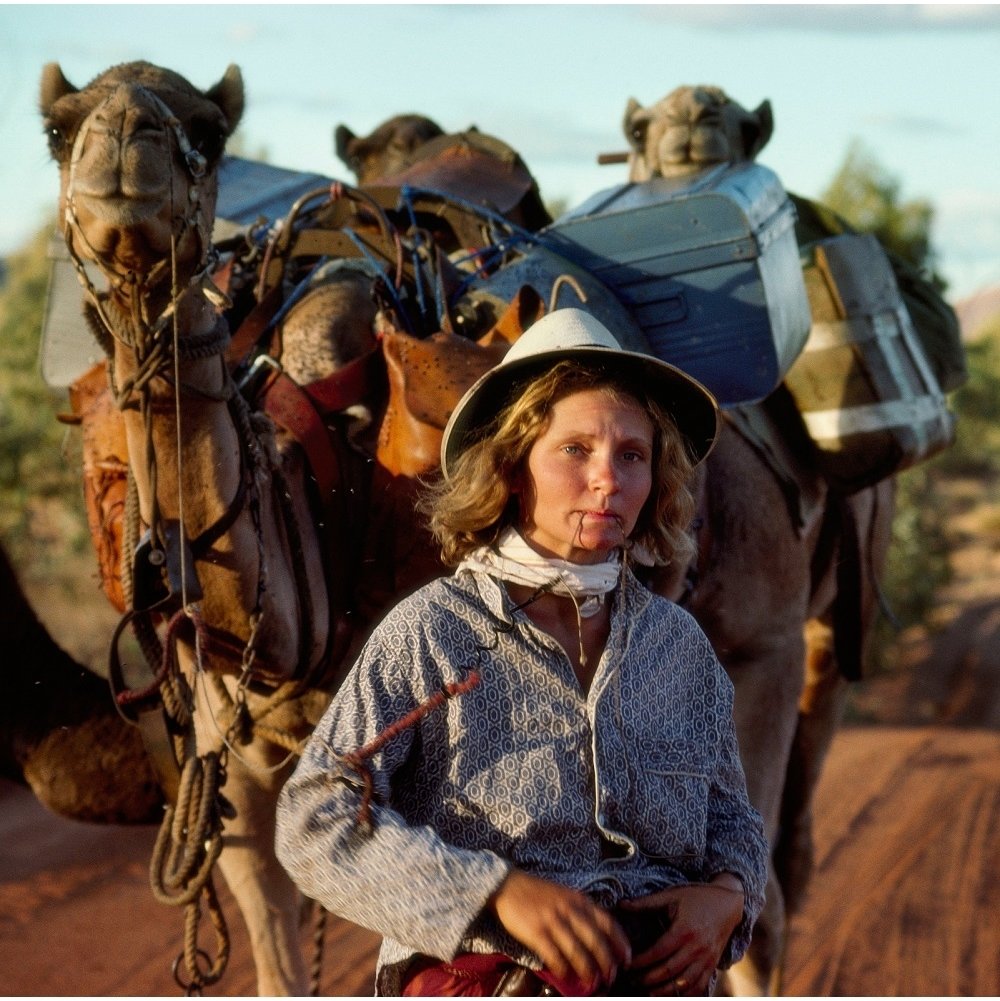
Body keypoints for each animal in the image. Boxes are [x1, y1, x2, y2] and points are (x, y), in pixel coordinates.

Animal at [38, 62, 903, 997]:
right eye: (58, 127)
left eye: (205, 130)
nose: (124, 146)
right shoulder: (227, 740)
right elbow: (279, 946)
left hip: (789, 635)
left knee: (774, 883)